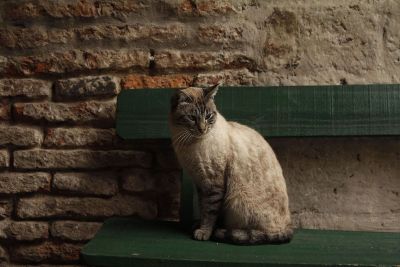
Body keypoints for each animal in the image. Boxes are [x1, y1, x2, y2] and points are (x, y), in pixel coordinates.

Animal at [169, 85, 294, 246]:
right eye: (192, 118)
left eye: (208, 116)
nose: (202, 129)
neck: (190, 143)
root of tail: (288, 225)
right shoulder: (200, 182)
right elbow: (203, 208)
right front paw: (200, 226)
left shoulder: (213, 184)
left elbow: (209, 213)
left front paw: (204, 232)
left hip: (238, 201)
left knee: (255, 232)